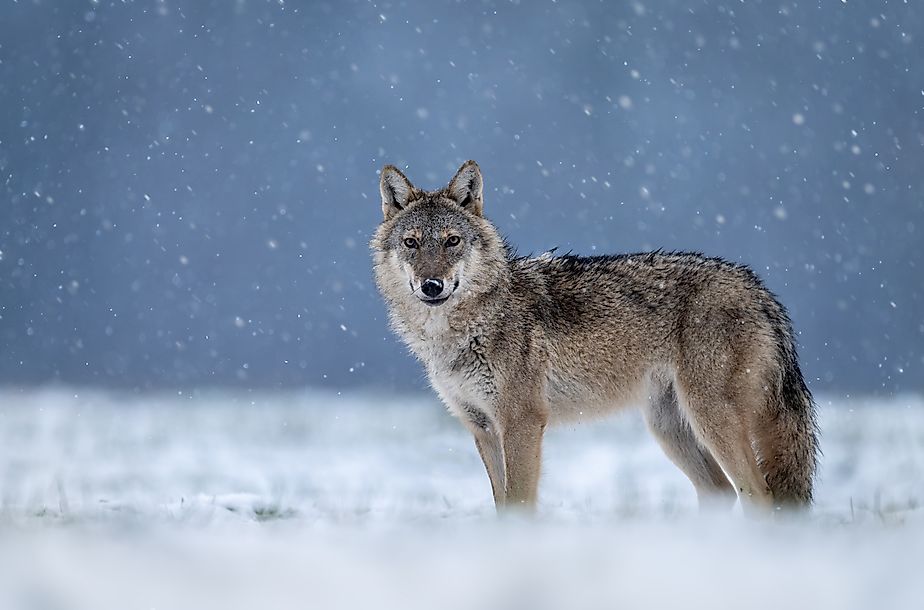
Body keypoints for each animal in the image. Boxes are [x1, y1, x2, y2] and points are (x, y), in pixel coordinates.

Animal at [371, 160, 818, 513]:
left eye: (452, 241)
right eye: (411, 243)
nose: (432, 286)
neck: (465, 327)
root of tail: (759, 288)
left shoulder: (522, 422)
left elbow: (518, 504)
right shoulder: (481, 427)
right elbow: (501, 506)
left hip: (710, 419)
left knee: (759, 495)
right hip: (670, 429)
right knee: (722, 493)